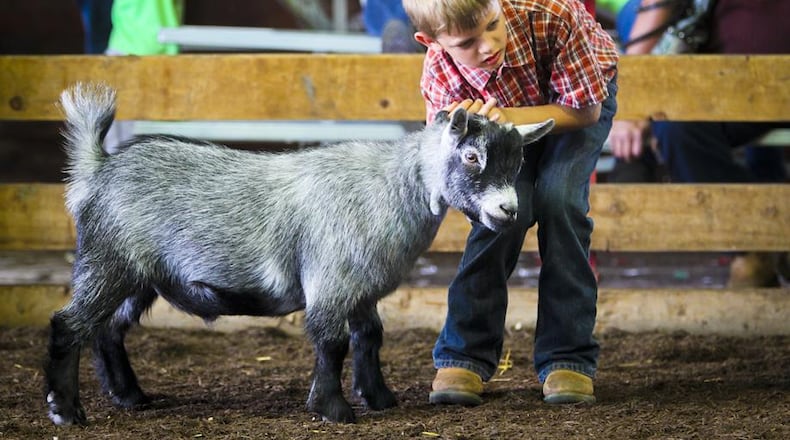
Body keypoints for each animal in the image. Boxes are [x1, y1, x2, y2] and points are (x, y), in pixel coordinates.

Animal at [44, 82, 554, 425]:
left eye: (518, 161)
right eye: (471, 157)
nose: (508, 211)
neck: (391, 188)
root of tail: (98, 168)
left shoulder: (361, 288)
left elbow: (369, 338)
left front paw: (379, 398)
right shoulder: (331, 282)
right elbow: (332, 343)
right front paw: (333, 409)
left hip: (138, 276)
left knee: (109, 330)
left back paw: (130, 396)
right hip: (108, 261)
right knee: (68, 325)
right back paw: (66, 410)